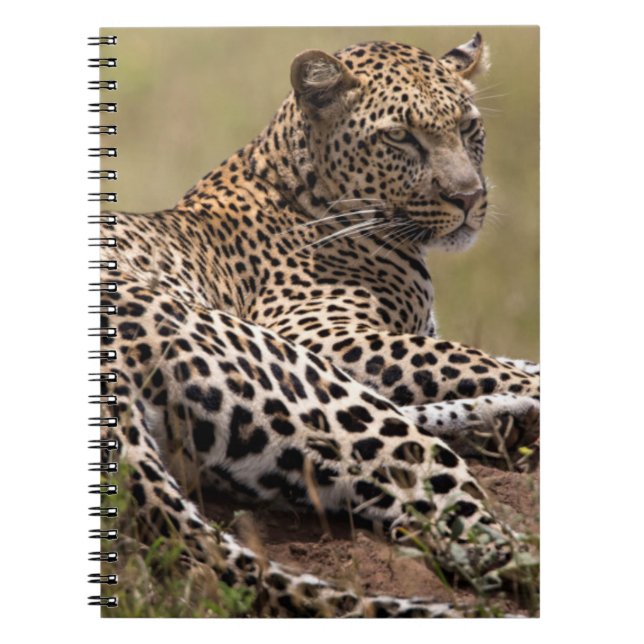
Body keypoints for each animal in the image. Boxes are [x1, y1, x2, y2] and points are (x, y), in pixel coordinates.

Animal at [97, 32, 540, 617]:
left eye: (468, 127)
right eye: (400, 137)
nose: (469, 198)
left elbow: (502, 360)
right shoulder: (322, 333)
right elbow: (475, 360)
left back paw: (504, 422)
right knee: (477, 541)